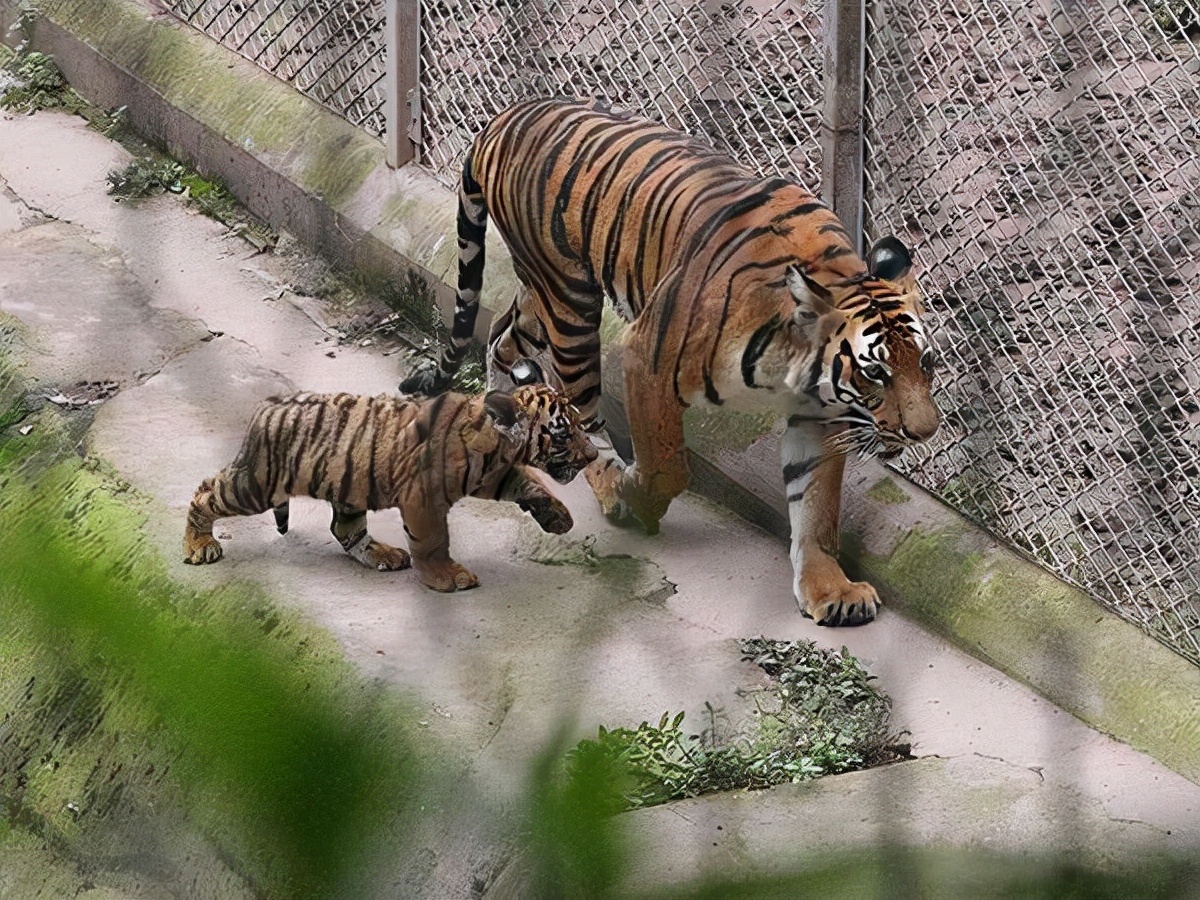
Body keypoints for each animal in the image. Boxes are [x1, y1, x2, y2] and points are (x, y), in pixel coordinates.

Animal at [182, 380, 597, 592]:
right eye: (564, 434)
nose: (593, 455)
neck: (497, 448)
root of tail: (269, 403)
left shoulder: (494, 474)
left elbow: (528, 483)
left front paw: (557, 516)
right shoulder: (425, 498)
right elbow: (433, 541)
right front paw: (448, 577)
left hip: (348, 486)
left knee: (344, 529)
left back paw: (382, 554)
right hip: (257, 484)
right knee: (206, 492)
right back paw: (199, 545)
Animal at [399, 98, 940, 624]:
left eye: (928, 364)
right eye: (875, 373)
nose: (925, 433)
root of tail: (507, 116)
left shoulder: (818, 409)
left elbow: (816, 502)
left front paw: (831, 589)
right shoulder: (648, 359)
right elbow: (666, 466)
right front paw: (637, 496)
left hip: (540, 297)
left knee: (502, 338)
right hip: (569, 303)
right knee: (581, 414)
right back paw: (608, 484)